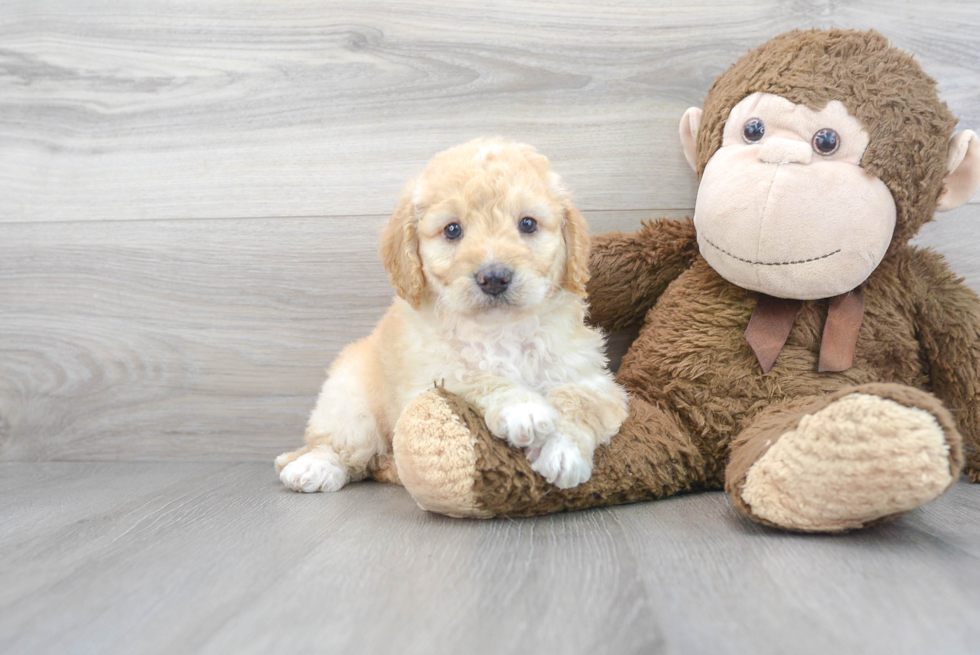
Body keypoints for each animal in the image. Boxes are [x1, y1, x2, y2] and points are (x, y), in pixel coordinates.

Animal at [276, 138, 628, 492]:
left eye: (528, 224)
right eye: (452, 230)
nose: (494, 277)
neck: (501, 331)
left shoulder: (594, 379)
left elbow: (578, 401)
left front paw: (563, 451)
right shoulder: (429, 379)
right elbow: (477, 378)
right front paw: (523, 408)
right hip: (348, 402)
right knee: (340, 447)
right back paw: (313, 467)